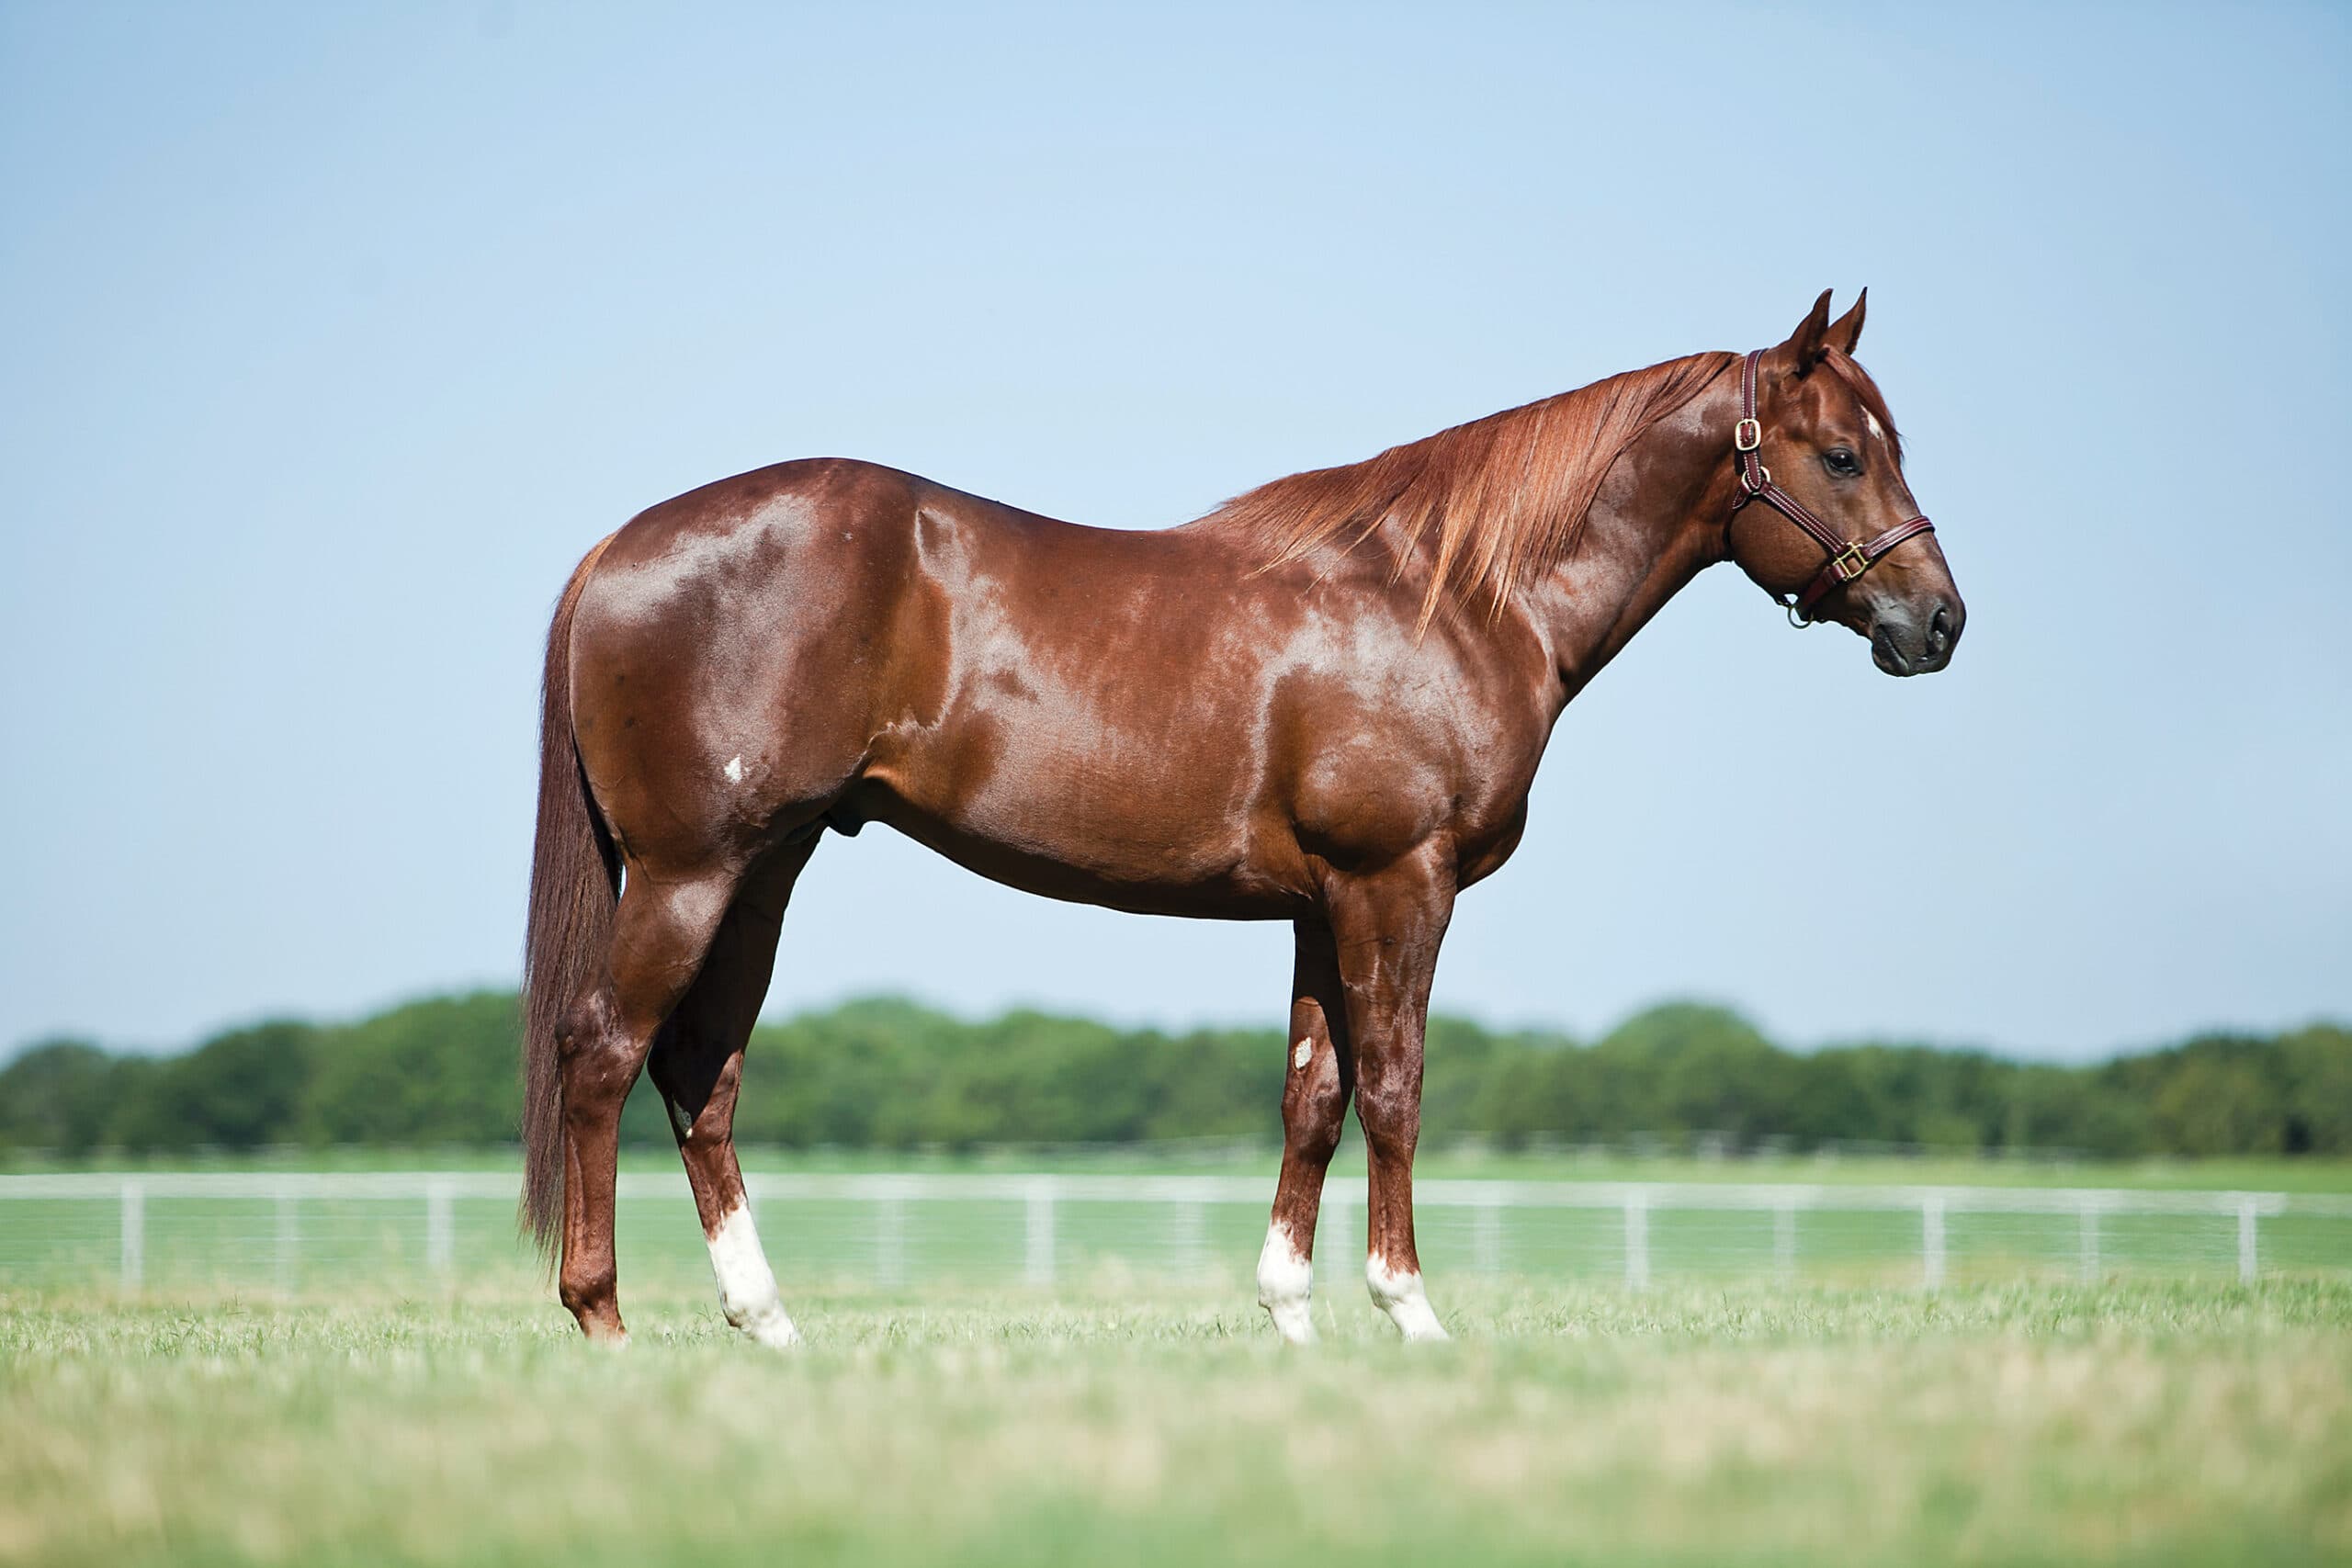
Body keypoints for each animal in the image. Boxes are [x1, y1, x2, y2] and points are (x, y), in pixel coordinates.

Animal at [520, 288, 1964, 1346]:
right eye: (1841, 453)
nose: (1937, 622)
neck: (1451, 597)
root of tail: (615, 549)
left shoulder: (1323, 905)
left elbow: (1312, 1098)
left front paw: (1293, 1319)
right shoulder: (1399, 882)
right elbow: (1396, 1086)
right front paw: (1411, 1312)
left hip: (763, 868)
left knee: (699, 1072)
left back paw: (766, 1324)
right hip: (692, 870)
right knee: (603, 1052)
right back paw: (603, 1322)